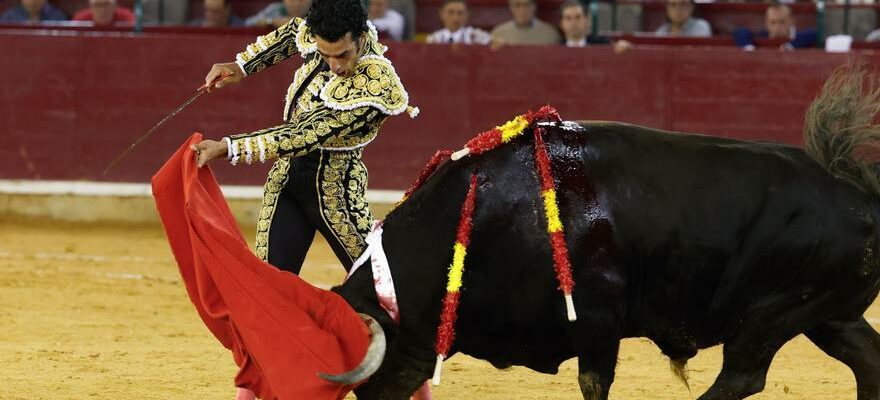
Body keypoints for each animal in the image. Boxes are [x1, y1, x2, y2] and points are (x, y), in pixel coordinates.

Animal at [320, 65, 880, 396]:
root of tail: (858, 190)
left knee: (743, 374)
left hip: (771, 314)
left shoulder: (597, 319)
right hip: (829, 314)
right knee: (867, 359)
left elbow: (594, 382)